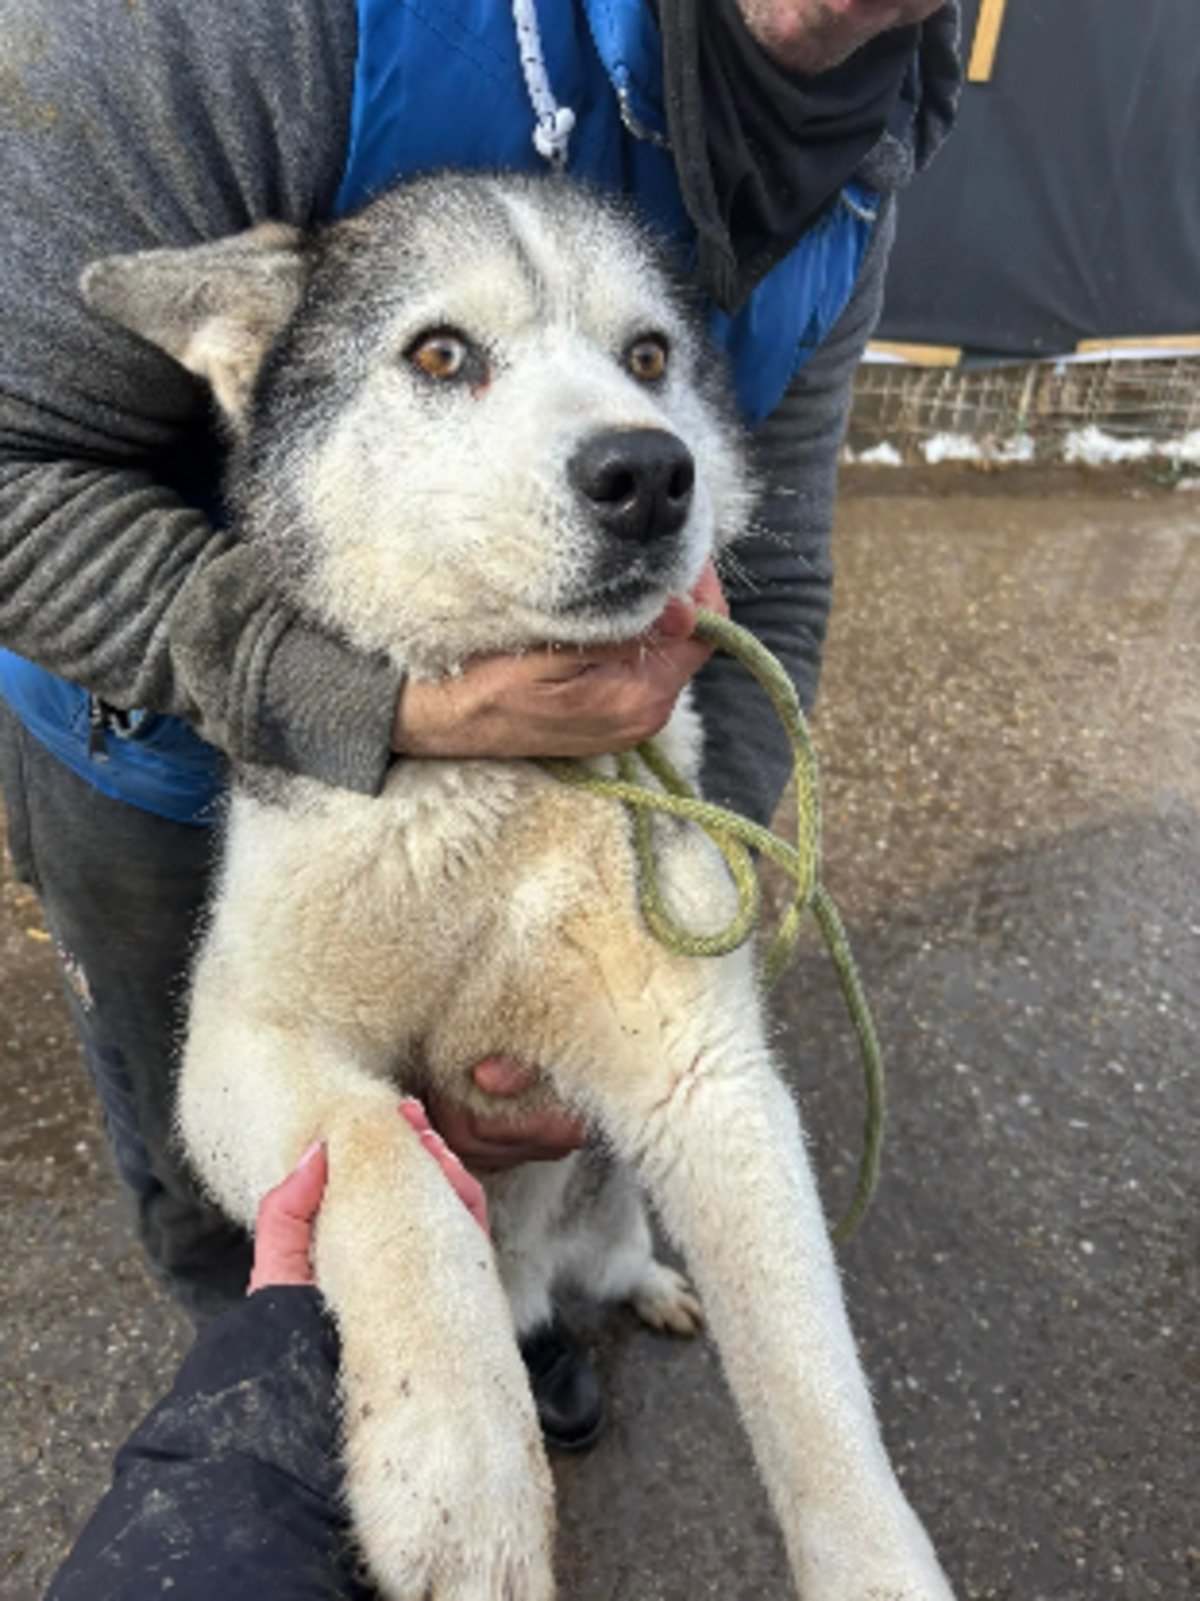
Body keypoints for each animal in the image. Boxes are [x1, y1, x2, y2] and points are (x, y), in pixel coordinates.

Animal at [82, 173, 955, 1601]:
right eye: (442, 354)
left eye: (648, 357)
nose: (649, 470)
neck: (509, 788)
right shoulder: (245, 1045)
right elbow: (386, 1153)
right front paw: (457, 1465)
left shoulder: (706, 1075)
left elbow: (821, 1386)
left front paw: (878, 1563)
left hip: (617, 1195)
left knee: (621, 1251)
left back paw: (648, 1285)